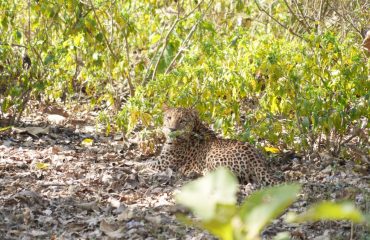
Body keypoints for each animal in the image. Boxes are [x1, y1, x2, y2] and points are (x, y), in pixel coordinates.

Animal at [146, 106, 276, 186]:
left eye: (182, 120)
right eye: (169, 118)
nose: (172, 129)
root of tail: (255, 158)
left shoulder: (162, 164)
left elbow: (145, 164)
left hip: (212, 156)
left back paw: (194, 172)